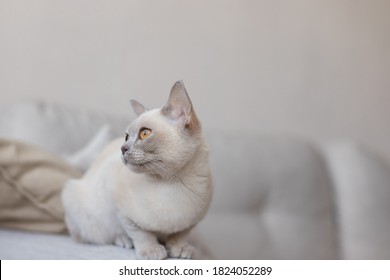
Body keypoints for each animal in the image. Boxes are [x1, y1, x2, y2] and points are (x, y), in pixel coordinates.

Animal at [61, 80, 213, 260]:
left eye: (144, 133)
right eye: (127, 136)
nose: (123, 148)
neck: (173, 182)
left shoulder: (192, 221)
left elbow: (180, 234)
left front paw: (180, 249)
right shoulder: (120, 208)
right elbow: (141, 233)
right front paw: (152, 251)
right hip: (77, 201)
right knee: (98, 235)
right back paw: (124, 240)